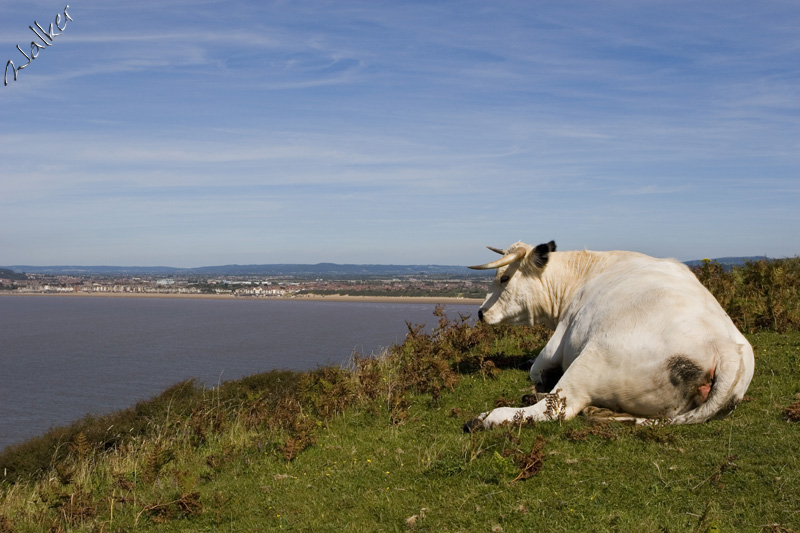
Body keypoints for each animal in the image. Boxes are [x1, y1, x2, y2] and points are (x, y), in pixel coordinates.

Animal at [466, 239, 752, 430]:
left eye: (504, 278)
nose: (480, 312)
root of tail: (725, 349)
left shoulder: (561, 334)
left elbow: (536, 367)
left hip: (590, 361)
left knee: (557, 408)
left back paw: (485, 418)